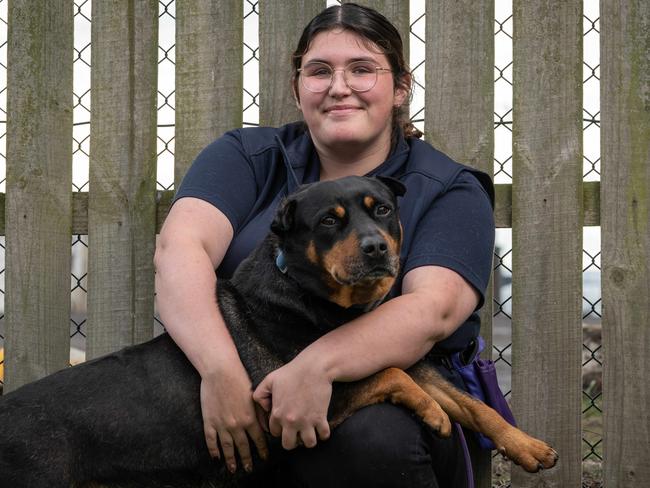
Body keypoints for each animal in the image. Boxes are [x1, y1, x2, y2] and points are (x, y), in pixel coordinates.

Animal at [0, 176, 556, 488]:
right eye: (329, 222)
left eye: (382, 209)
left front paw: (527, 446)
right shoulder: (298, 398)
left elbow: (475, 405)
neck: (324, 306)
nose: (376, 247)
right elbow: (394, 378)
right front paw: (432, 413)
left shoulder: (413, 364)